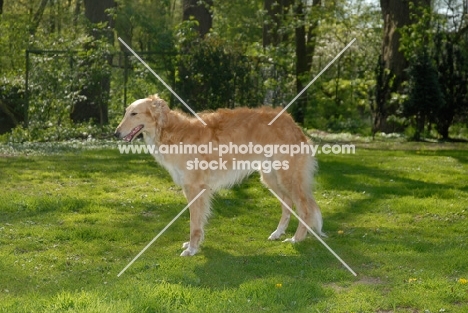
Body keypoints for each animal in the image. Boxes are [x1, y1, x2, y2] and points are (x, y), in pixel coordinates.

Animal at [115, 95, 324, 256]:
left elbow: (194, 223)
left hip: (287, 177)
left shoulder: (195, 187)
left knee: (305, 209)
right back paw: (277, 233)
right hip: (270, 177)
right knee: (288, 204)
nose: (115, 134)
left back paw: (296, 239)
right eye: (126, 111)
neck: (171, 132)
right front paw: (193, 245)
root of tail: (293, 123)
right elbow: (198, 221)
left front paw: (191, 249)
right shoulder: (194, 188)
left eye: (134, 113)